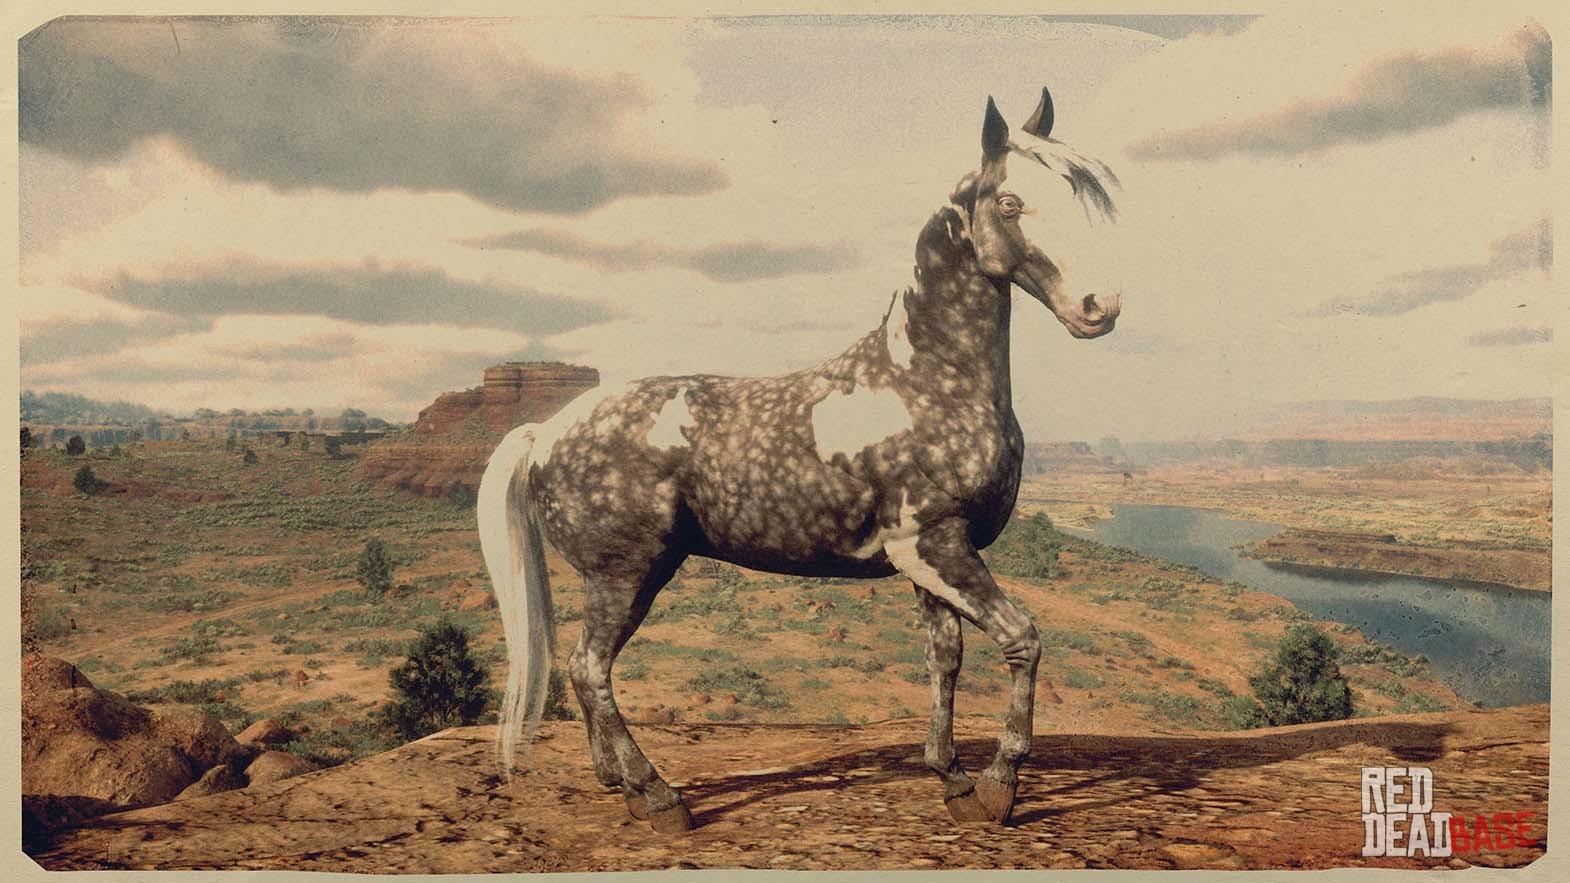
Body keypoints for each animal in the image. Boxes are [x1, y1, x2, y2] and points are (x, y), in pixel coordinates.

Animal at [479, 91, 1122, 833]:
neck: (925, 381)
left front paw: (952, 778)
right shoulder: (938, 545)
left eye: (1082, 196)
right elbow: (1023, 639)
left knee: (585, 672)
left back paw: (619, 784)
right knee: (589, 668)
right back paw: (661, 797)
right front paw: (999, 785)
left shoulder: (929, 556)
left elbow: (945, 659)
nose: (1099, 307)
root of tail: (546, 432)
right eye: (1012, 203)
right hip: (626, 573)